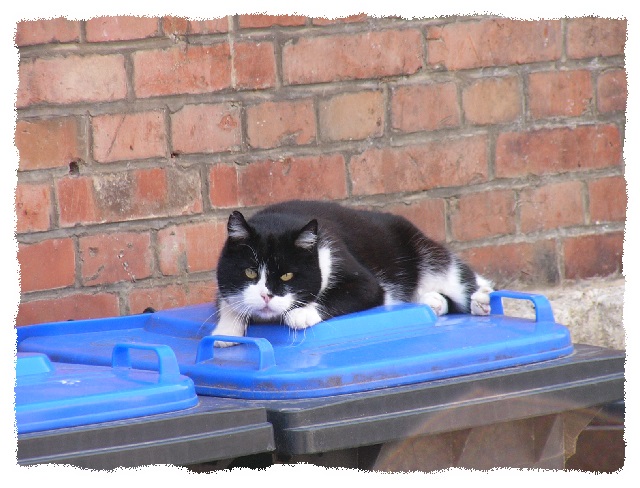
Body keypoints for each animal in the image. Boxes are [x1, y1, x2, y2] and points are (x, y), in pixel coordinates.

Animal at [212, 199, 492, 346]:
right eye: (250, 273)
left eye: (287, 276)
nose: (266, 296)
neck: (280, 219)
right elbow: (227, 301)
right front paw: (225, 331)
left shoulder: (363, 280)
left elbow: (351, 293)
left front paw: (301, 313)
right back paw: (433, 301)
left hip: (427, 253)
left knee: (461, 277)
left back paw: (482, 300)